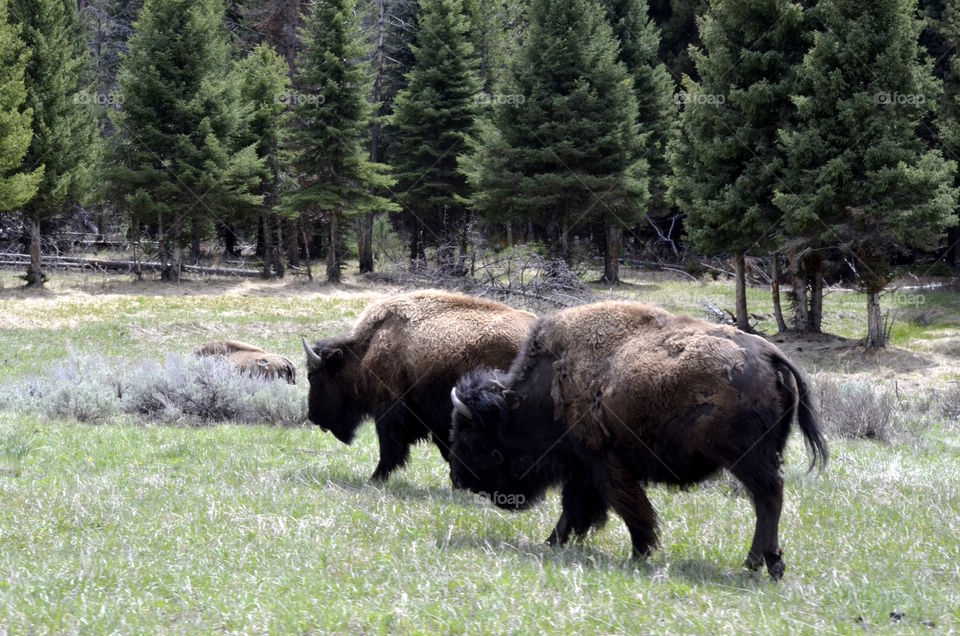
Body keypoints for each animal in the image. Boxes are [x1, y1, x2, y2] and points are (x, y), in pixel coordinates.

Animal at [302, 290, 537, 481]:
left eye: (313, 377)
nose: (313, 415)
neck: (368, 348)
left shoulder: (390, 408)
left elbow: (390, 449)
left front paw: (375, 479)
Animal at [449, 301, 827, 580]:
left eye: (469, 435)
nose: (459, 477)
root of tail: (770, 356)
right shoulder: (582, 468)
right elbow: (576, 509)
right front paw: (554, 542)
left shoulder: (603, 464)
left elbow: (628, 508)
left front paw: (639, 552)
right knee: (765, 500)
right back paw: (755, 563)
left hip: (744, 458)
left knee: (768, 497)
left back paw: (766, 564)